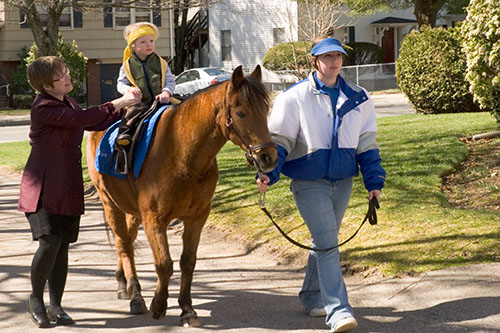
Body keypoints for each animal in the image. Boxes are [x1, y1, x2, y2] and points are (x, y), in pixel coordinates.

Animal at [87, 65, 280, 326]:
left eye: (266, 110)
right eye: (241, 113)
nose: (269, 157)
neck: (181, 151)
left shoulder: (196, 217)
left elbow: (188, 262)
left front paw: (187, 308)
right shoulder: (154, 219)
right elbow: (164, 264)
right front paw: (159, 305)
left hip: (131, 210)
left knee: (127, 239)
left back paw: (122, 282)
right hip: (110, 203)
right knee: (123, 244)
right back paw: (135, 295)